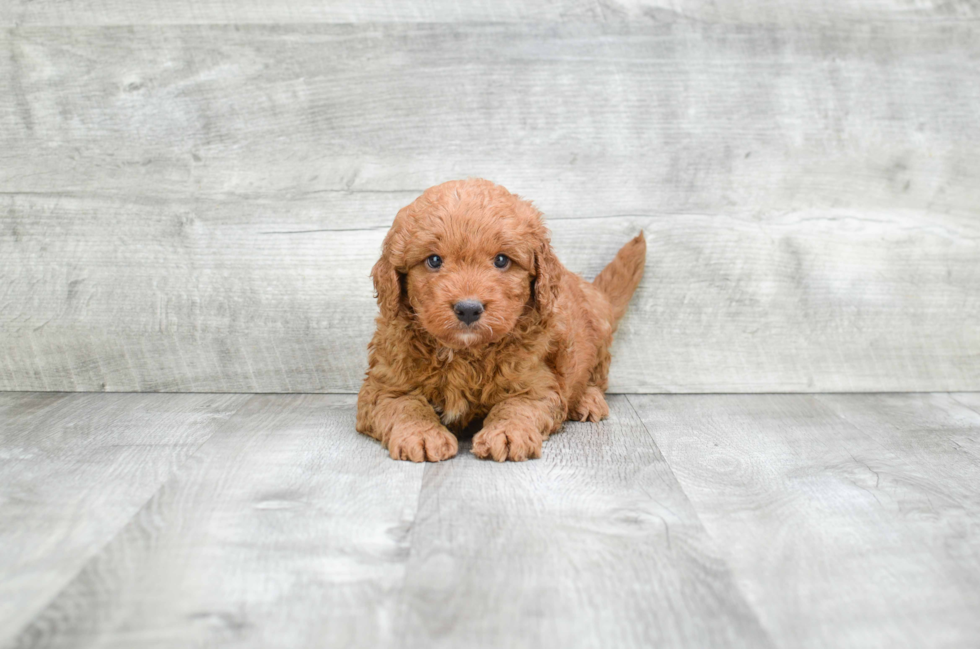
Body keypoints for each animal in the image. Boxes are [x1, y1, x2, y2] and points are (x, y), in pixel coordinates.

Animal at [356, 177, 648, 460]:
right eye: (434, 260)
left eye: (501, 260)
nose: (468, 309)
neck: (465, 353)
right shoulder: (384, 385)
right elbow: (405, 405)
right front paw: (422, 434)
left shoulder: (536, 384)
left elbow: (517, 406)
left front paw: (508, 433)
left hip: (598, 335)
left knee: (595, 379)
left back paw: (588, 400)